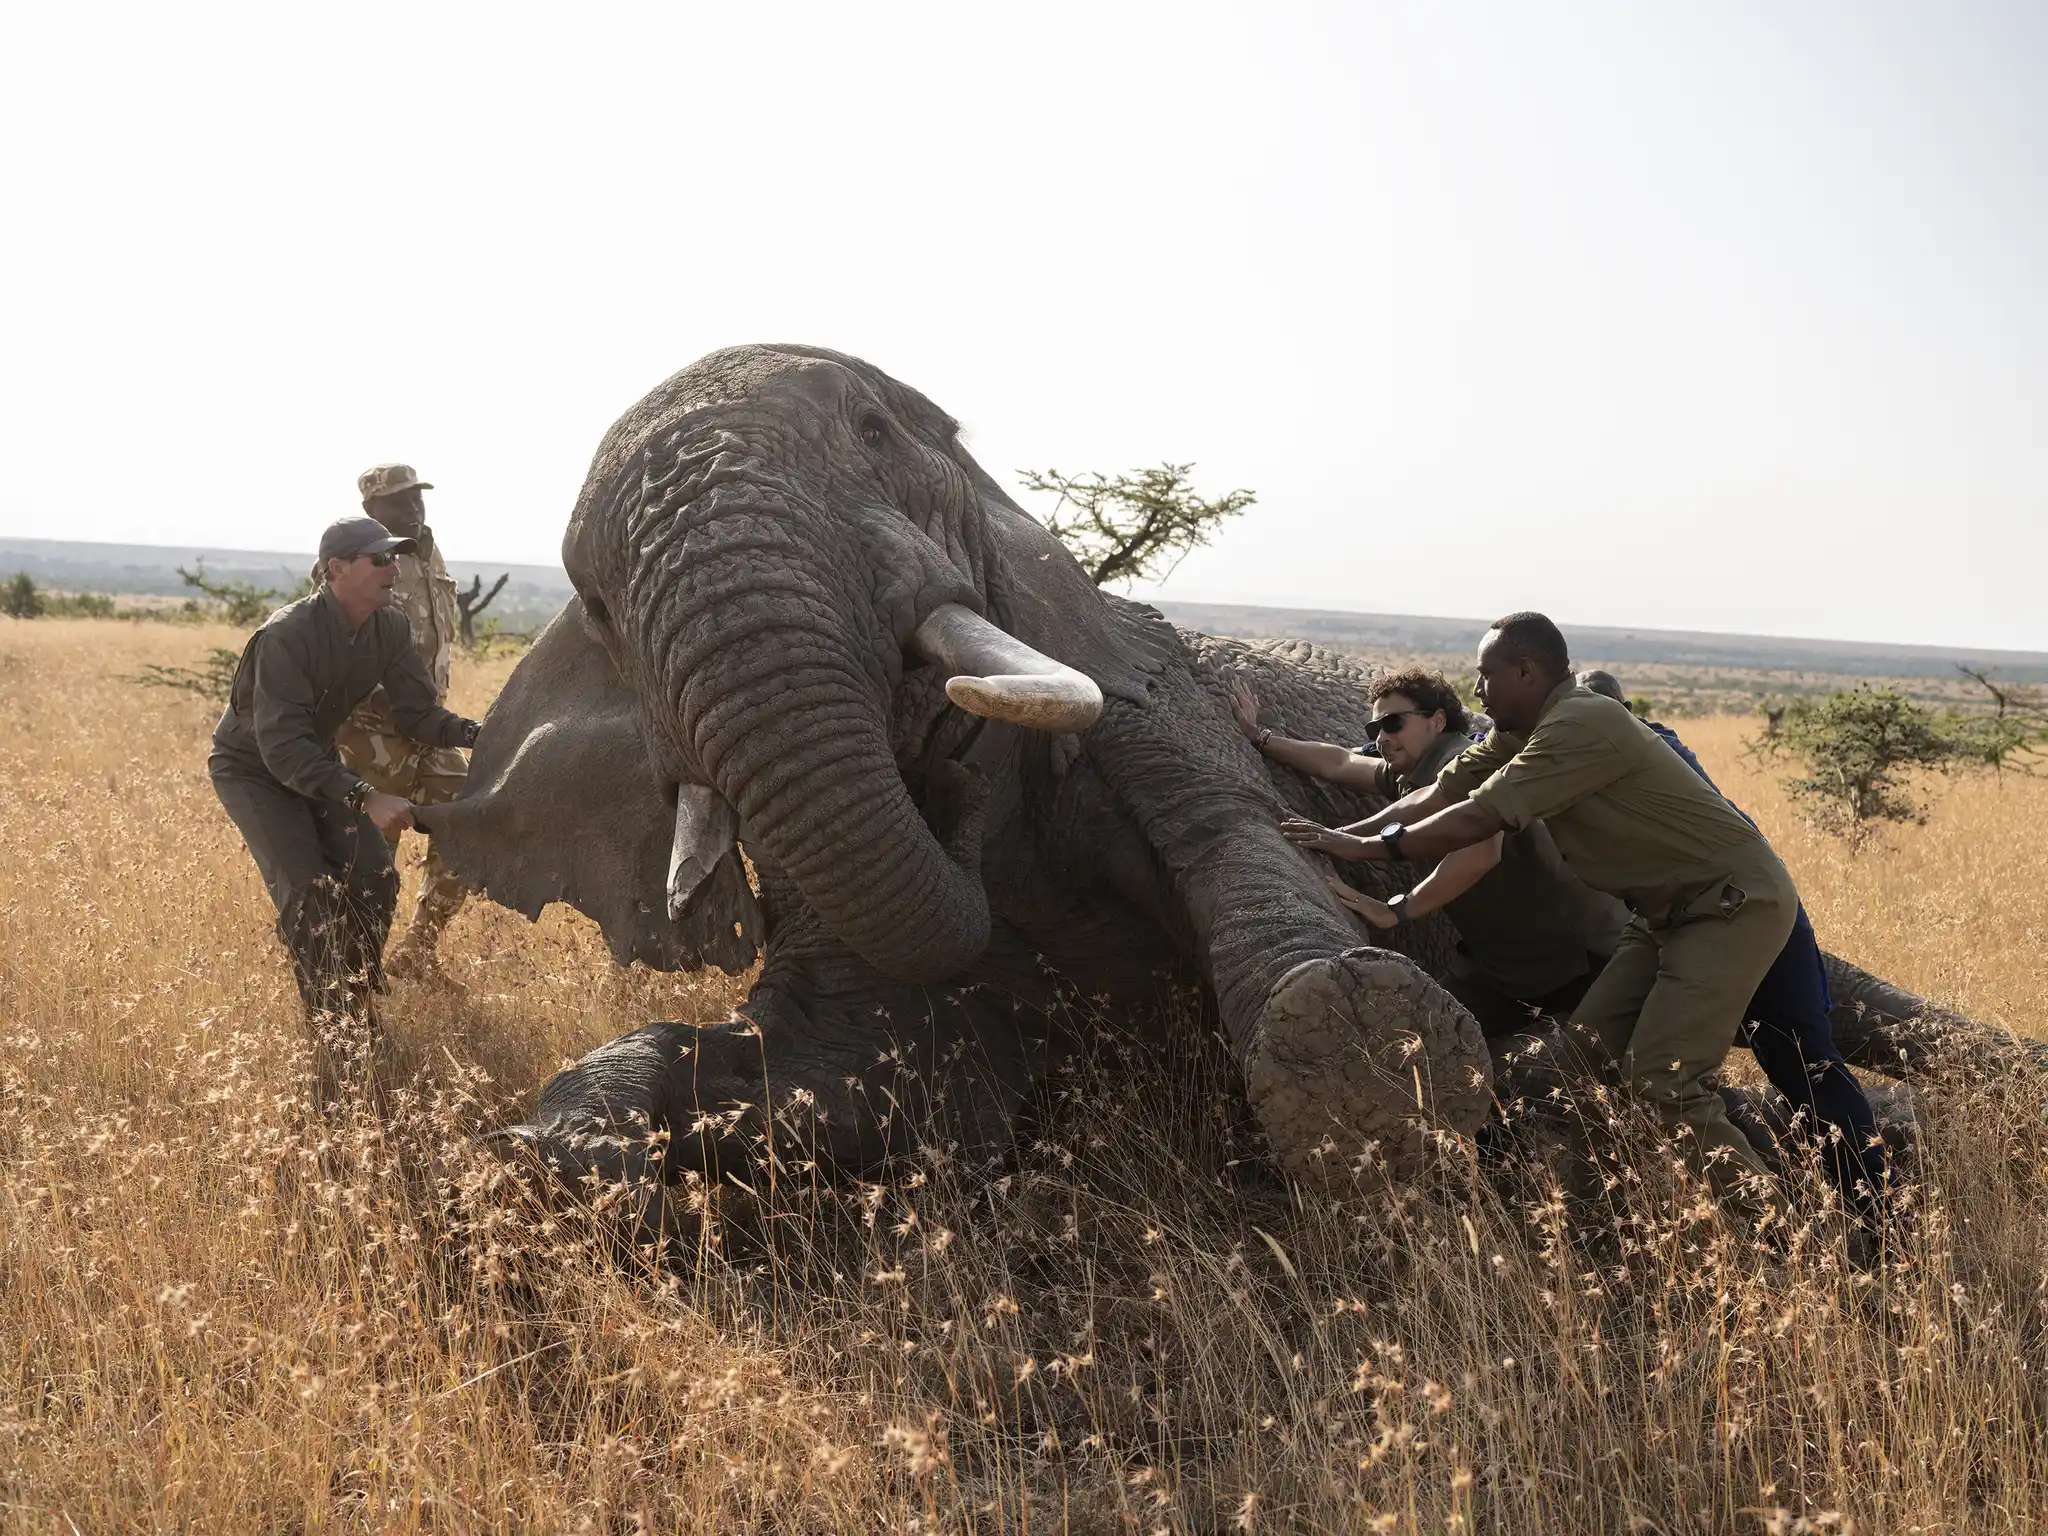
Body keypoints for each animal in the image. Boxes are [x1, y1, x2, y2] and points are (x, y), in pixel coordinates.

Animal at [424, 344, 2043, 1212]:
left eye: (879, 433)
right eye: (597, 603)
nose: (944, 754)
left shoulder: (1152, 696)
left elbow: (1266, 884)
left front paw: (1370, 1065)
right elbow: (834, 1060)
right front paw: (559, 1149)